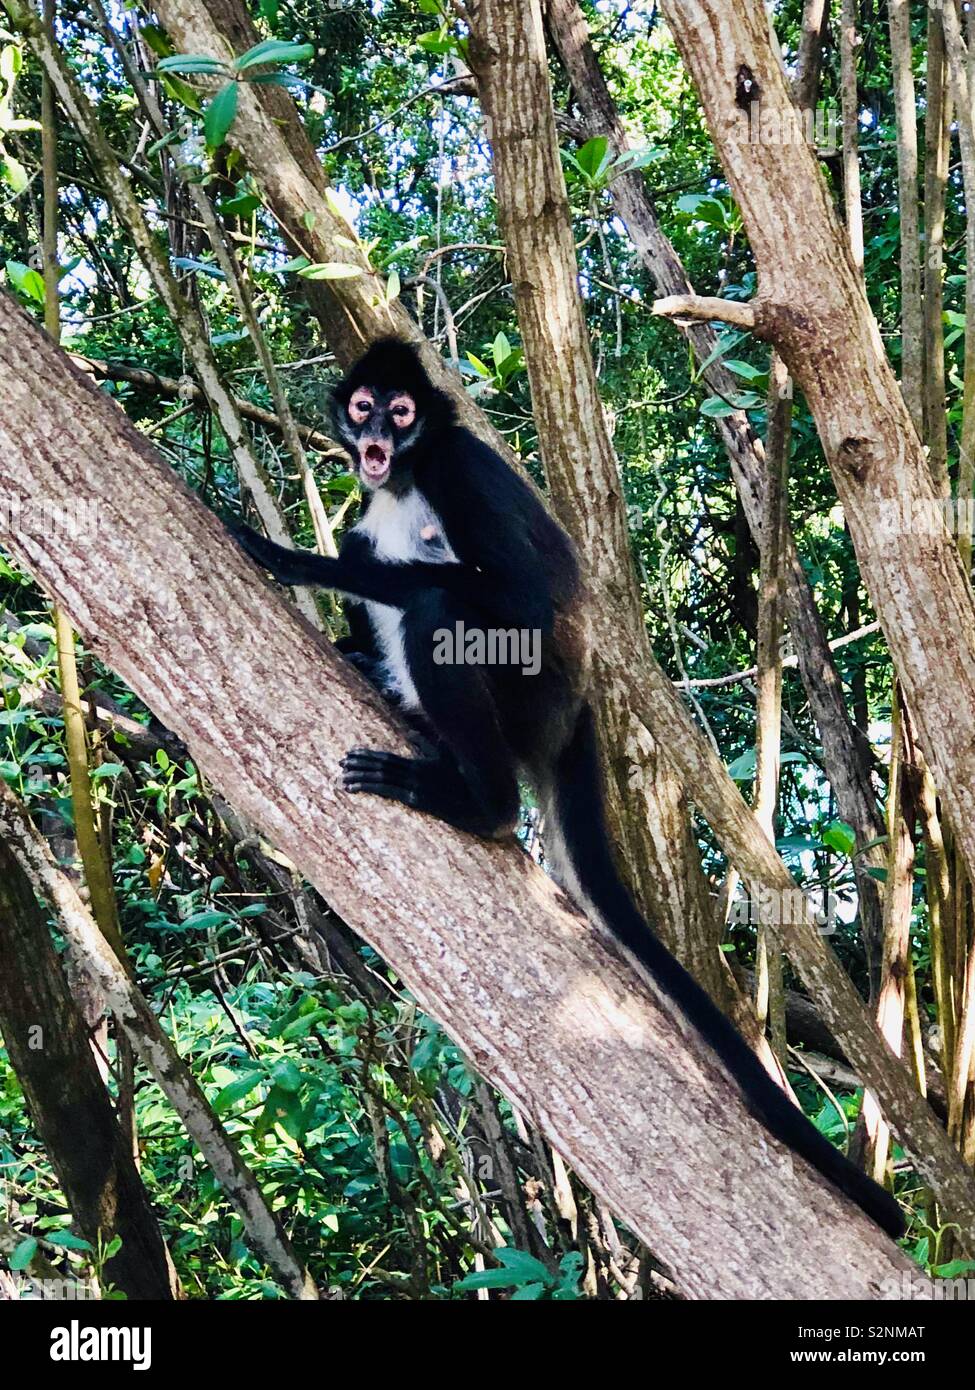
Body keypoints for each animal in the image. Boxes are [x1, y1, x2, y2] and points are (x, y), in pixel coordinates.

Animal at [228, 336, 906, 1239]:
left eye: (401, 413)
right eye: (364, 408)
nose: (373, 436)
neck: (407, 478)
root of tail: (576, 701)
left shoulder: (461, 469)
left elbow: (513, 592)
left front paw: (297, 558)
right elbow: (369, 539)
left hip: (528, 693)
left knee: (438, 603)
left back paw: (476, 801)